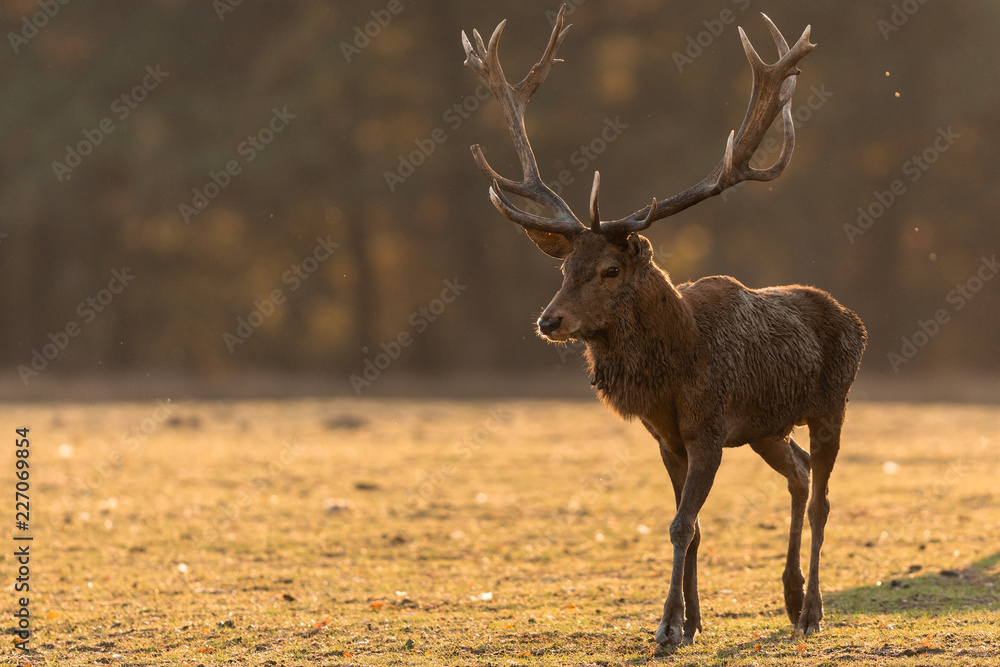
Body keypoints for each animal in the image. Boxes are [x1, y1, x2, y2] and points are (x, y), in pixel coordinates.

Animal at [461, 6, 866, 648]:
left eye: (609, 269)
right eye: (564, 267)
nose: (549, 321)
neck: (676, 369)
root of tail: (853, 319)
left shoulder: (709, 430)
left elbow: (680, 524)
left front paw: (668, 627)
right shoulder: (667, 438)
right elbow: (691, 524)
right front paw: (693, 620)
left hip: (832, 403)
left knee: (823, 498)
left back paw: (810, 613)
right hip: (766, 428)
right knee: (800, 473)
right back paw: (789, 594)